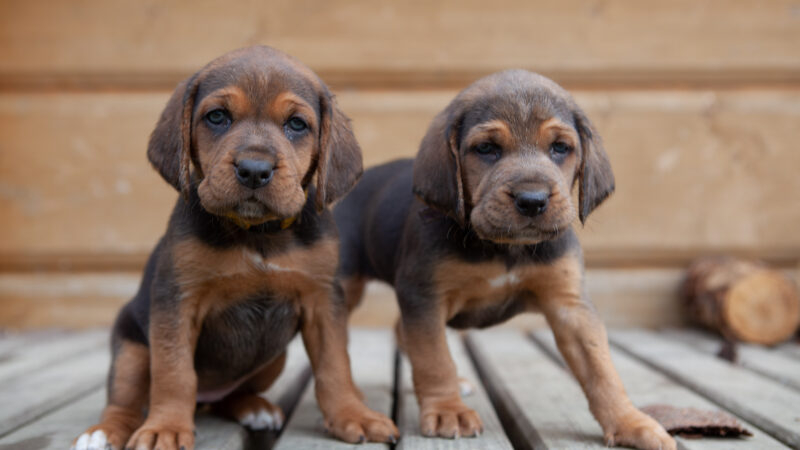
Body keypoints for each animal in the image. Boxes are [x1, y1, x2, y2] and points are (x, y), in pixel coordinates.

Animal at [73, 46, 398, 450]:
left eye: (297, 125)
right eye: (217, 117)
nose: (254, 169)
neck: (257, 233)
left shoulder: (323, 300)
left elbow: (335, 366)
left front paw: (353, 415)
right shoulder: (177, 302)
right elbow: (174, 373)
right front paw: (166, 427)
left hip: (273, 358)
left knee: (231, 396)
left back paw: (253, 407)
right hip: (131, 347)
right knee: (126, 398)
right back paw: (105, 431)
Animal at [334, 68, 680, 448]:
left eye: (560, 148)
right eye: (486, 149)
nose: (532, 200)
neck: (506, 248)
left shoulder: (570, 305)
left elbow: (600, 368)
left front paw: (630, 421)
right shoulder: (424, 296)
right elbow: (435, 358)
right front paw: (447, 411)